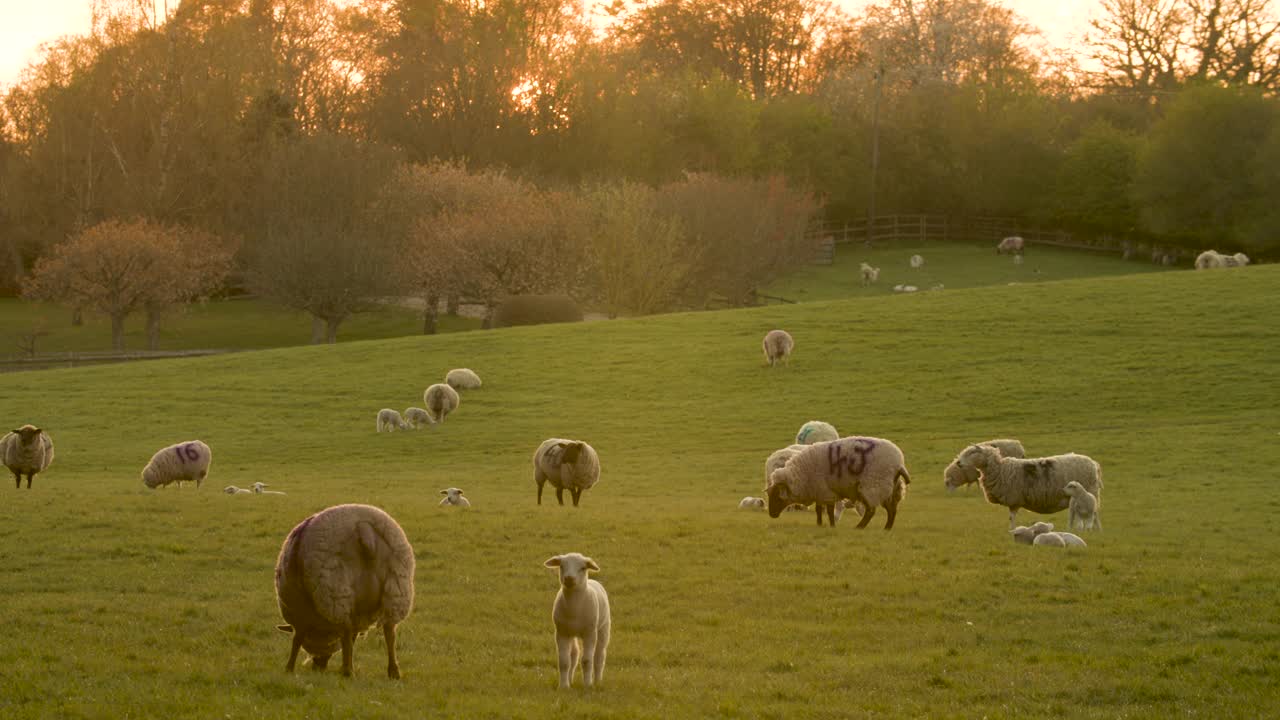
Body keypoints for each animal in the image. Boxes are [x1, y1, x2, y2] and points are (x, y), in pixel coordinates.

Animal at [275, 502, 414, 676]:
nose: (318, 666)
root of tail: (363, 527)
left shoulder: (300, 616)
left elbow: (297, 640)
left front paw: (289, 668)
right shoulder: (358, 616)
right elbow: (351, 641)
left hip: (335, 589)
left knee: (346, 629)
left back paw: (347, 671)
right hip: (396, 588)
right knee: (389, 631)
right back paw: (393, 671)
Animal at [542, 550, 611, 686]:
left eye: (583, 568)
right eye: (562, 566)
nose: (569, 578)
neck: (574, 610)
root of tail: (593, 581)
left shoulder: (589, 633)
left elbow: (587, 660)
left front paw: (588, 684)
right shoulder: (561, 632)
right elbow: (564, 661)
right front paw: (564, 686)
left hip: (603, 628)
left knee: (599, 656)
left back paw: (598, 681)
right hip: (572, 633)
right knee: (574, 654)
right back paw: (570, 679)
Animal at [757, 430, 911, 527]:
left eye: (777, 496)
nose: (772, 515)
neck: (801, 474)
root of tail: (899, 462)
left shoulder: (825, 491)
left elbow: (829, 511)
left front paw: (831, 525)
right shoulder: (819, 491)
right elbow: (819, 509)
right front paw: (819, 524)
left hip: (874, 485)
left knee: (871, 511)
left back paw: (860, 527)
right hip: (890, 487)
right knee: (891, 509)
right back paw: (887, 528)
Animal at [957, 443, 1105, 527]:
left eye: (972, 452)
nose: (958, 463)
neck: (1000, 470)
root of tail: (1094, 463)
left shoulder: (1014, 499)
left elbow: (1011, 518)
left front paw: (1011, 531)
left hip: (1089, 494)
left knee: (1095, 515)